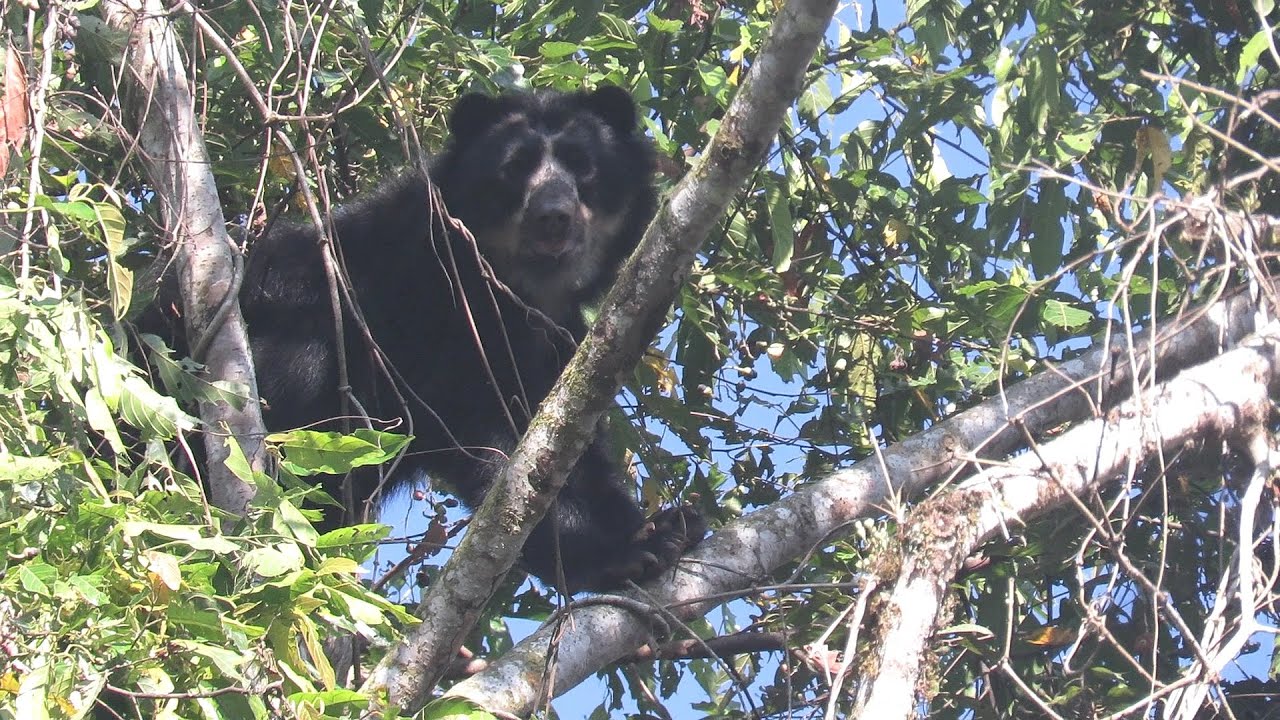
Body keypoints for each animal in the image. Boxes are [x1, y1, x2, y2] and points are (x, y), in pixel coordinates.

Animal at [234, 86, 704, 592]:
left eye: (583, 164)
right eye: (515, 167)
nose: (552, 217)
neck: (514, 291)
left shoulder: (555, 341)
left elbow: (564, 440)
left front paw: (665, 528)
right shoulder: (434, 314)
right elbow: (502, 447)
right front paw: (616, 555)